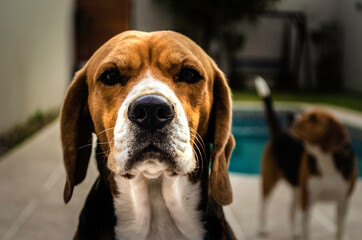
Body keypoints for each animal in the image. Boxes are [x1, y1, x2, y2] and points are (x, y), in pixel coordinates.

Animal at [255, 77, 356, 240]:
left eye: (313, 118)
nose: (289, 115)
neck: (325, 160)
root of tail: (279, 132)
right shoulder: (308, 200)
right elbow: (306, 230)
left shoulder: (343, 202)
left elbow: (339, 231)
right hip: (269, 181)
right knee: (263, 205)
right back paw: (262, 227)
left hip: (298, 189)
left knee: (291, 209)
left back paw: (295, 231)